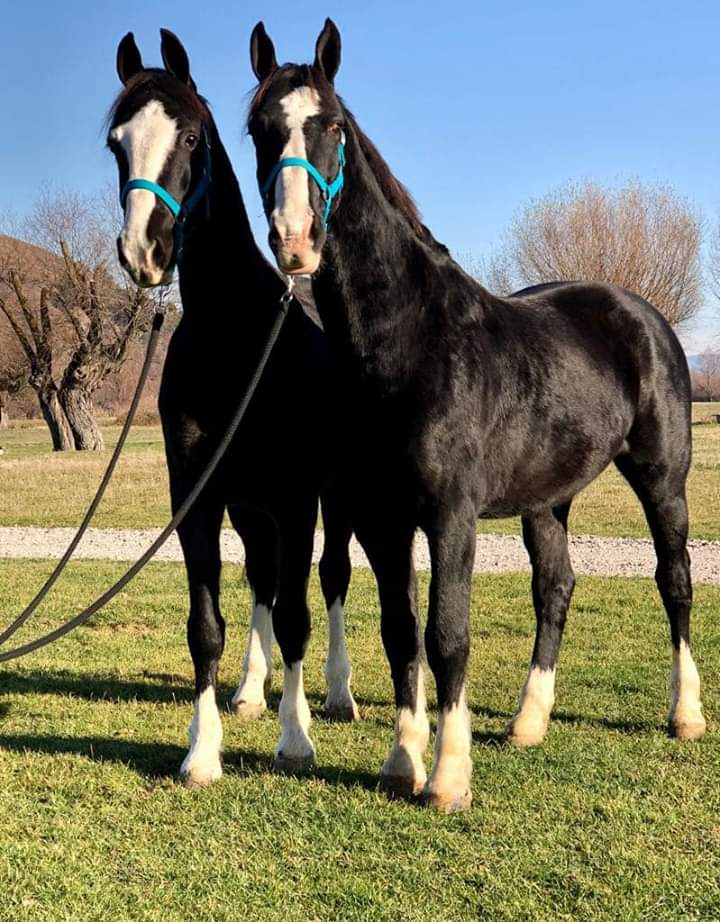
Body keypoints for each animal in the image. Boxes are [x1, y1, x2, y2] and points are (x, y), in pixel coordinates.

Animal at [106, 29, 359, 787]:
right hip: (249, 510)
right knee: (261, 585)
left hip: (333, 501)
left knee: (331, 581)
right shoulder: (198, 498)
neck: (235, 336)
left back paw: (337, 694)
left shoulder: (297, 500)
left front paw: (296, 739)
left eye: (190, 137)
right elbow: (208, 625)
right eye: (116, 143)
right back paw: (250, 691)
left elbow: (302, 611)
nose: (146, 250)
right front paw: (203, 750)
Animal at [246, 19, 706, 812]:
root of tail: (638, 314)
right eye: (258, 129)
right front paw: (403, 761)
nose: (294, 239)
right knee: (555, 589)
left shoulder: (449, 515)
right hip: (547, 502)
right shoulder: (381, 518)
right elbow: (401, 632)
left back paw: (686, 715)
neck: (409, 339)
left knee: (673, 582)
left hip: (660, 480)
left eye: (333, 126)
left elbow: (447, 634)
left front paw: (449, 777)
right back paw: (528, 722)